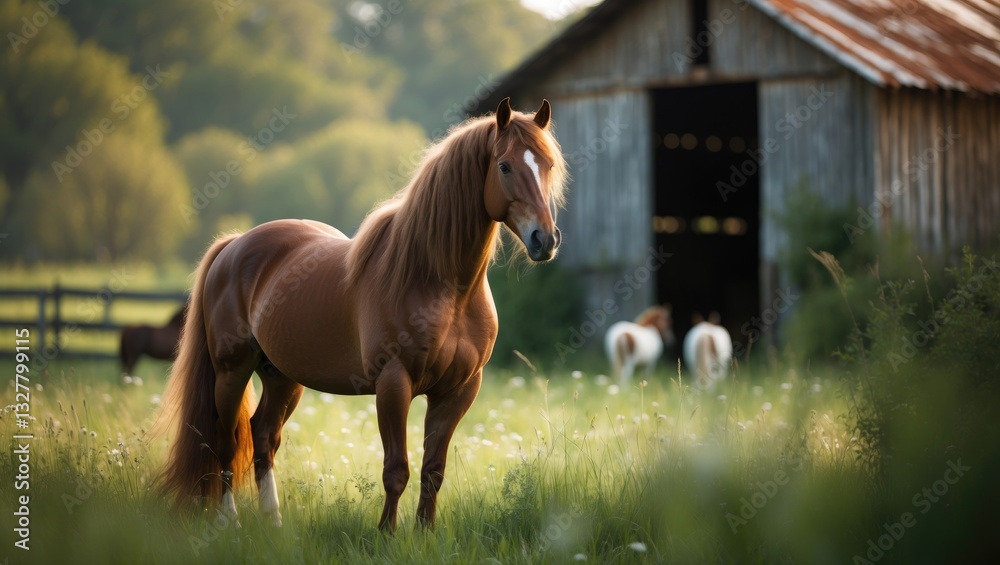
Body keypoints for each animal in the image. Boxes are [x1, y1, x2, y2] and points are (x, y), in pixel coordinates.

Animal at [156, 98, 567, 532]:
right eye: (504, 166)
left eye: (548, 164)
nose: (545, 239)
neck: (440, 284)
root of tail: (234, 245)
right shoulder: (393, 383)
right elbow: (397, 470)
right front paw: (387, 534)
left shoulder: (457, 391)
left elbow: (433, 471)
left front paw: (425, 533)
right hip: (231, 370)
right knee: (225, 439)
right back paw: (229, 521)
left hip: (283, 376)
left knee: (263, 437)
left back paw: (274, 522)